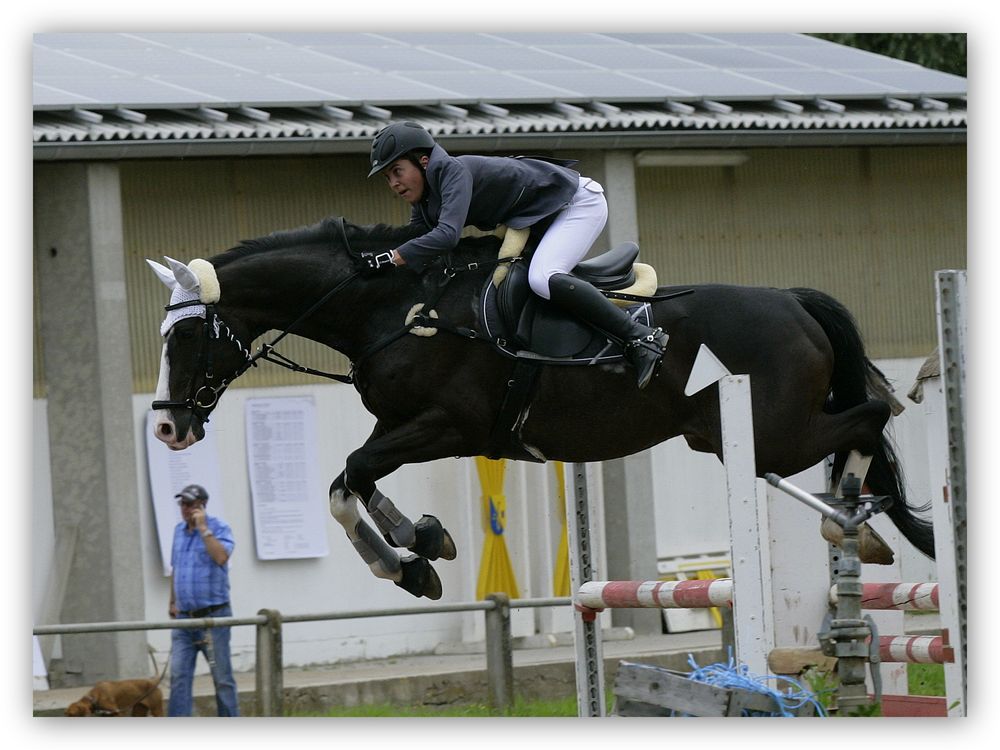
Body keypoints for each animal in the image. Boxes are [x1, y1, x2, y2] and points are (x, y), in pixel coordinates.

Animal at [146, 216, 928, 600]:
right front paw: (423, 546)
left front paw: (409, 561)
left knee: (870, 417)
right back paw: (854, 521)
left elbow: (349, 479)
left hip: (770, 433)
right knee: (862, 423)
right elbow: (352, 483)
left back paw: (851, 518)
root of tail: (793, 301)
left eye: (184, 335)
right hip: (736, 437)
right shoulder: (401, 424)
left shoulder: (448, 426)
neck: (397, 307)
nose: (167, 426)